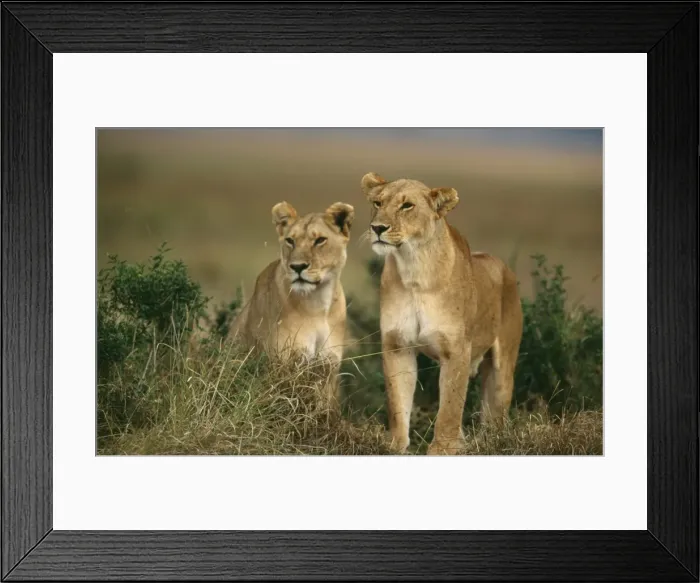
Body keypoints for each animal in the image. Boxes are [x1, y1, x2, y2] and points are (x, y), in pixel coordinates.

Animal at [229, 201, 355, 405]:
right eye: (290, 241)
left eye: (320, 240)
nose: (297, 267)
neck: (318, 303)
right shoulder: (283, 365)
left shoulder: (328, 367)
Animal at [361, 172, 523, 455]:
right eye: (378, 203)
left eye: (407, 206)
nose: (378, 228)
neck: (414, 269)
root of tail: (504, 267)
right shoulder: (397, 346)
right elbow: (397, 401)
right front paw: (395, 445)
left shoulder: (456, 349)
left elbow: (450, 407)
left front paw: (443, 449)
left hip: (501, 370)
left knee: (495, 414)